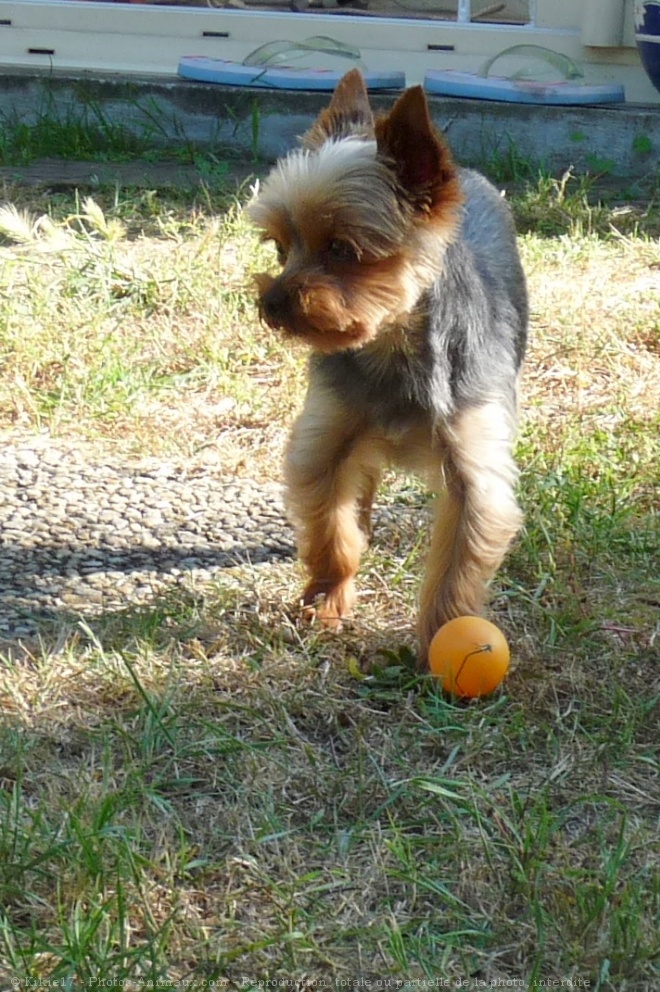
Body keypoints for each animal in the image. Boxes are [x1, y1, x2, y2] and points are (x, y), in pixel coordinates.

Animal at [250, 70, 528, 668]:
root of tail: (466, 173)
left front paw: (447, 639)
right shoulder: (327, 437)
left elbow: (458, 561)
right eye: (281, 247)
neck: (392, 345)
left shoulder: (474, 469)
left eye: (342, 249)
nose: (273, 303)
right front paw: (326, 599)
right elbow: (329, 524)